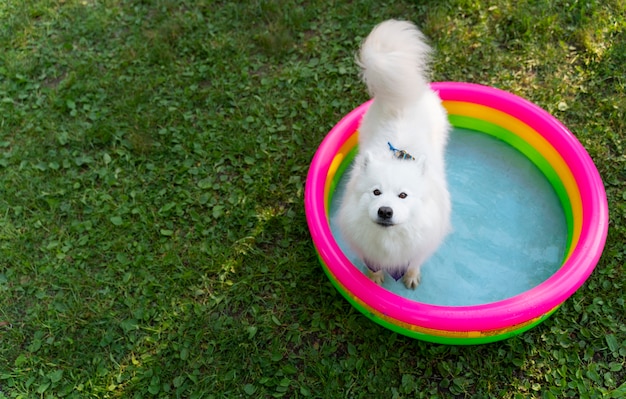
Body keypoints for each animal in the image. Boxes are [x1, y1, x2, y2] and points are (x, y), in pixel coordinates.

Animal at [336, 20, 448, 290]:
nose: (385, 211)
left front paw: (411, 276)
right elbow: (372, 264)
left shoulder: (422, 242)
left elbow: (414, 260)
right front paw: (374, 278)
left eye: (403, 195)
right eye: (376, 192)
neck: (389, 238)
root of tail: (400, 97)